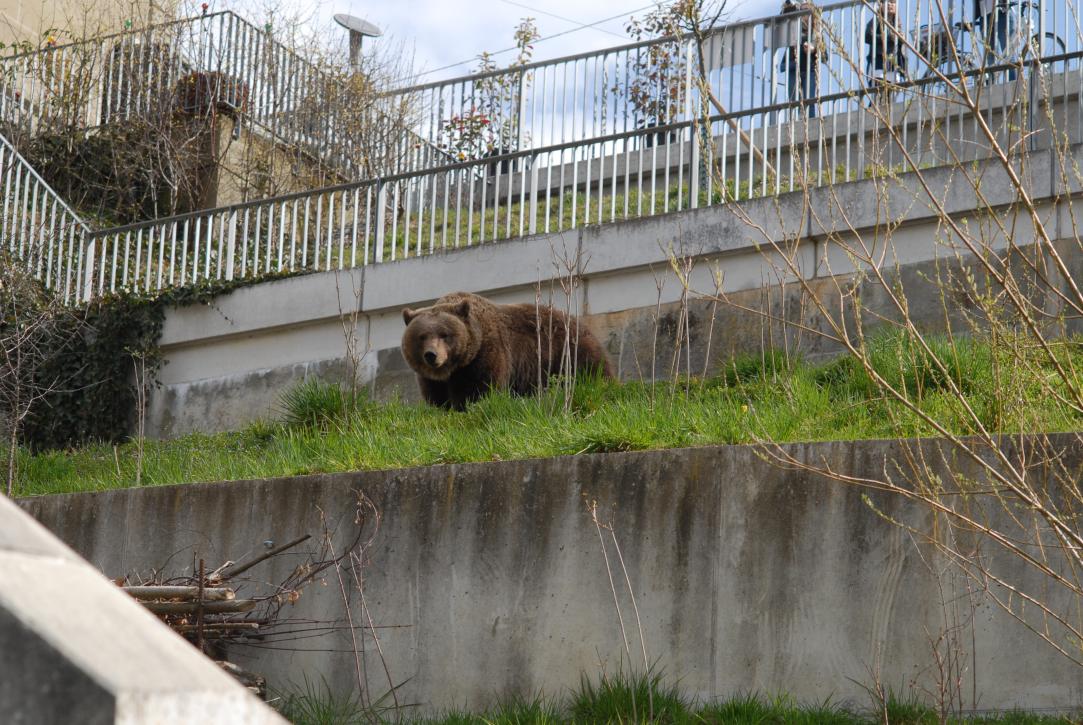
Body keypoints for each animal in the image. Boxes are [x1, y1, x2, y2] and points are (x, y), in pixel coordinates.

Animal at [402, 290, 615, 409]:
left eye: (444, 334)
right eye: (422, 336)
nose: (432, 355)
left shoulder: (486, 354)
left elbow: (481, 387)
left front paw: (465, 404)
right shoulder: (432, 379)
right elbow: (436, 396)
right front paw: (443, 407)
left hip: (567, 352)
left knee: (593, 372)